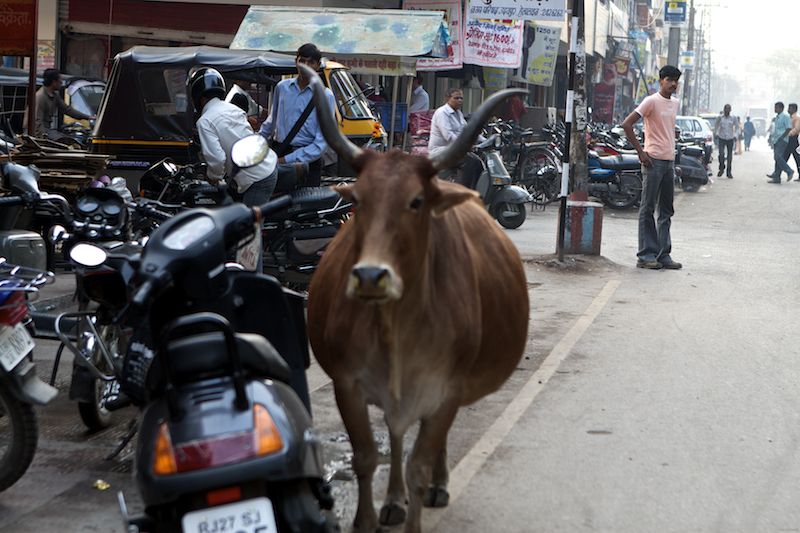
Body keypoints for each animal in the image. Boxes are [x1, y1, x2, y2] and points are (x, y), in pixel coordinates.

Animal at [304, 64, 528, 528]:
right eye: (358, 200)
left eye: (416, 201)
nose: (370, 276)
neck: (396, 329)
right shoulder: (348, 384)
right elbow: (367, 457)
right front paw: (367, 519)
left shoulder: (447, 390)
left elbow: (419, 466)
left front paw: (422, 497)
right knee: (395, 432)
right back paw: (392, 501)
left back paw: (436, 487)